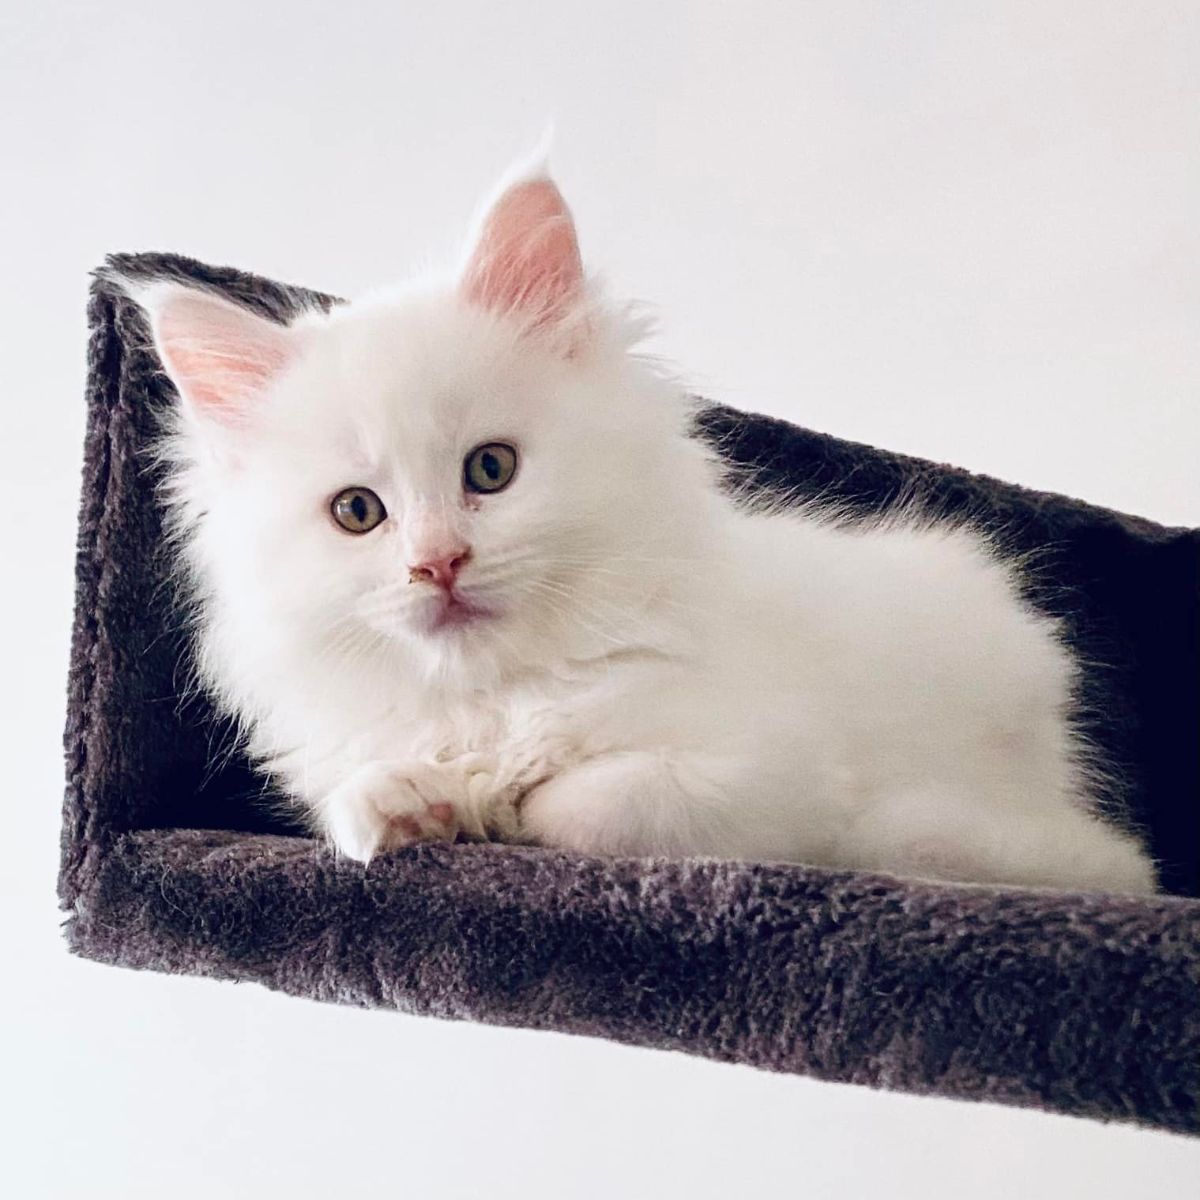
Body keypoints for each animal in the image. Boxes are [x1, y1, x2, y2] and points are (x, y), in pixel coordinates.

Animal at [119, 162, 1152, 892]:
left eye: (489, 470)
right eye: (357, 514)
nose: (437, 563)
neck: (503, 691)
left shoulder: (772, 776)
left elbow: (588, 804)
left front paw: (510, 810)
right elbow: (358, 802)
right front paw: (417, 804)